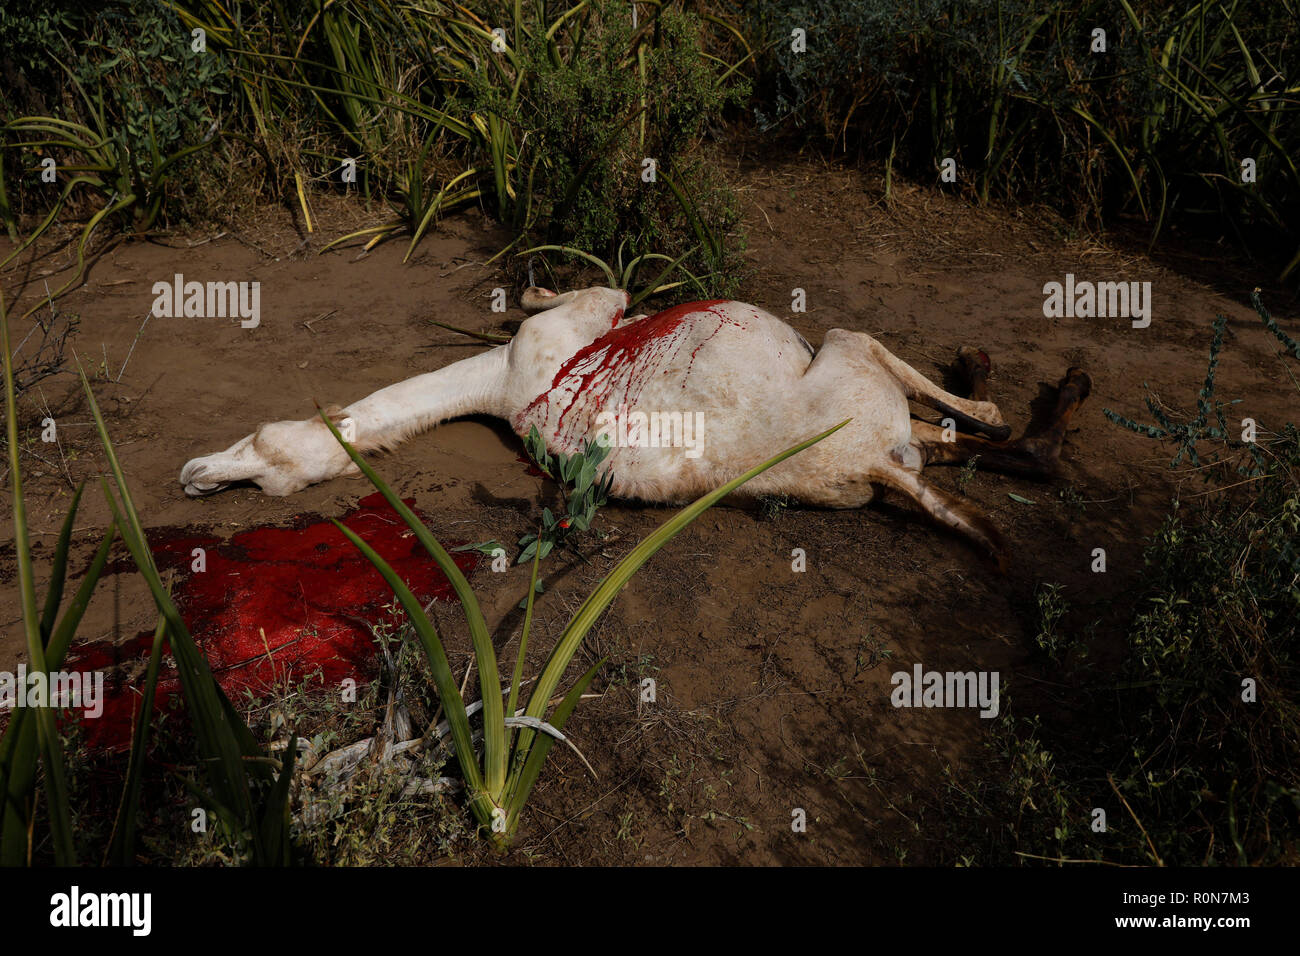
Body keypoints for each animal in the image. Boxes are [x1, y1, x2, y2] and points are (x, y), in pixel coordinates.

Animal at [180, 283, 1086, 567]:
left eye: (252, 454)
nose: (192, 476)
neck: (504, 389)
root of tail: (869, 465)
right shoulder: (582, 317)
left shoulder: (565, 330)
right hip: (849, 353)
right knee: (980, 436)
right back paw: (1021, 388)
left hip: (868, 400)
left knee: (977, 445)